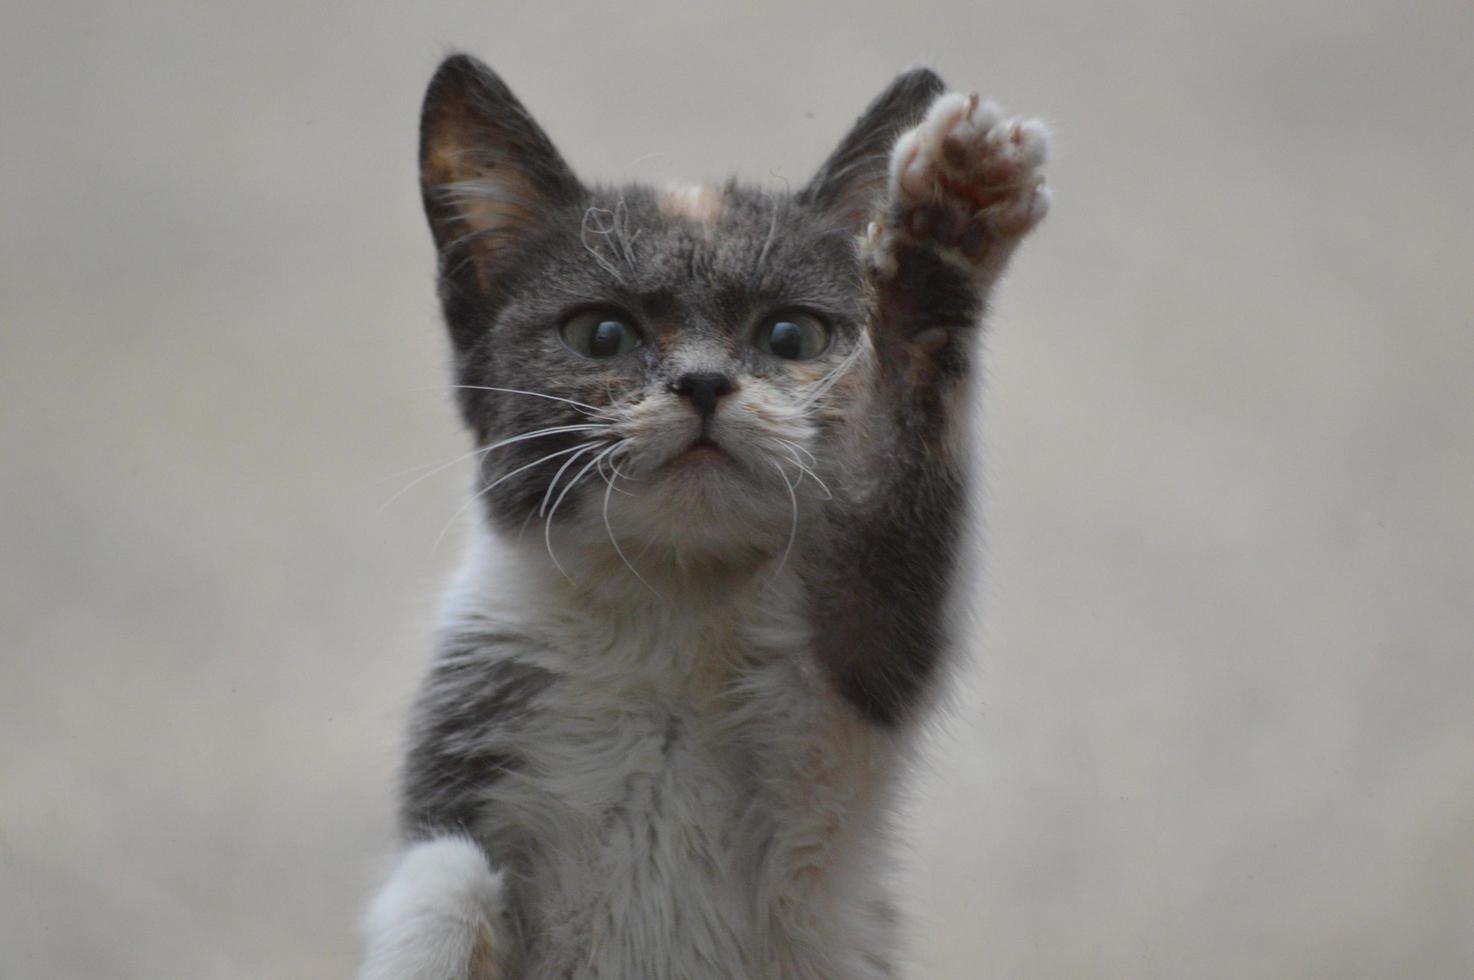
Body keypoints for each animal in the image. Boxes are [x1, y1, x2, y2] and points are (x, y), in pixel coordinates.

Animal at [355, 55, 1049, 978]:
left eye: (793, 336)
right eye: (602, 334)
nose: (705, 383)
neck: (673, 600)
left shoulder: (859, 670)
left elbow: (893, 565)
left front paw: (944, 232)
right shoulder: (476, 710)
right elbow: (441, 879)